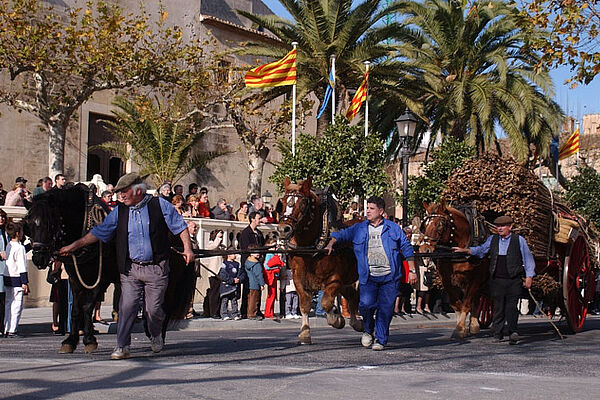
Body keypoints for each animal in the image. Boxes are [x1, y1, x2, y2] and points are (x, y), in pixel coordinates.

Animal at [276, 178, 360, 344]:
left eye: (302, 203)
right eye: (282, 202)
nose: (283, 230)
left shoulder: (334, 279)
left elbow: (326, 302)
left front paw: (336, 319)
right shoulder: (298, 278)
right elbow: (305, 304)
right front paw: (305, 332)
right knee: (352, 296)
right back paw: (355, 322)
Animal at [422, 199, 488, 338]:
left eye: (440, 224)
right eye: (425, 225)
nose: (425, 249)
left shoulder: (475, 279)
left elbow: (466, 304)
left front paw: (460, 328)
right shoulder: (447, 279)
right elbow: (456, 303)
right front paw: (460, 327)